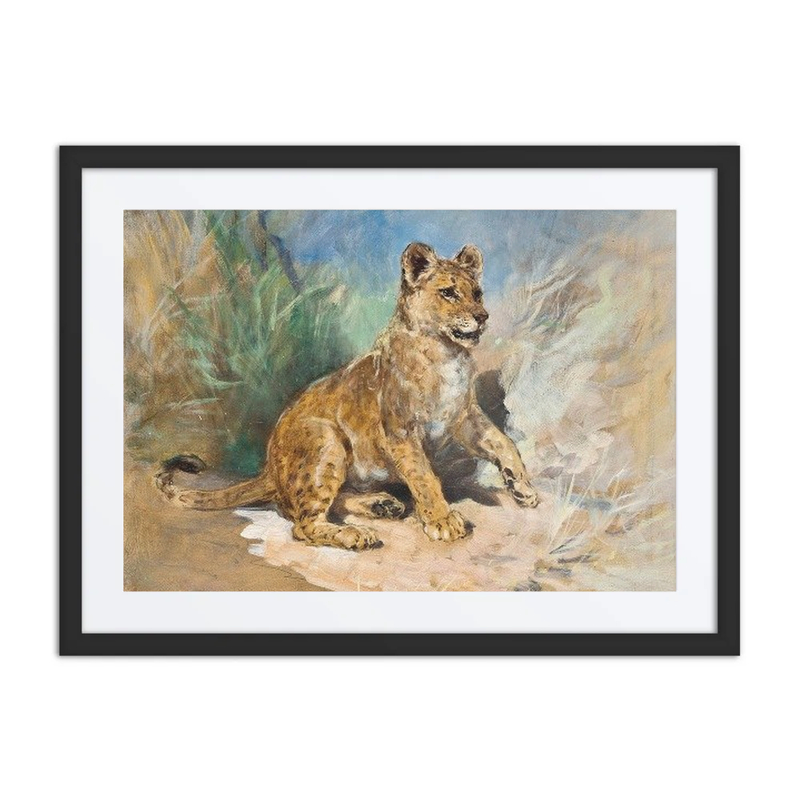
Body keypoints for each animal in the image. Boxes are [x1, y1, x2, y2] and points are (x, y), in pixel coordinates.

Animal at [156, 242, 539, 549]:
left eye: (478, 293)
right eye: (448, 292)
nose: (482, 317)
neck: (447, 354)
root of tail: (269, 470)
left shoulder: (464, 416)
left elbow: (503, 442)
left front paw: (522, 488)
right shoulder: (401, 431)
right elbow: (425, 477)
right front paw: (442, 521)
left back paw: (381, 505)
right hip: (326, 441)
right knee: (303, 523)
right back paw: (356, 535)